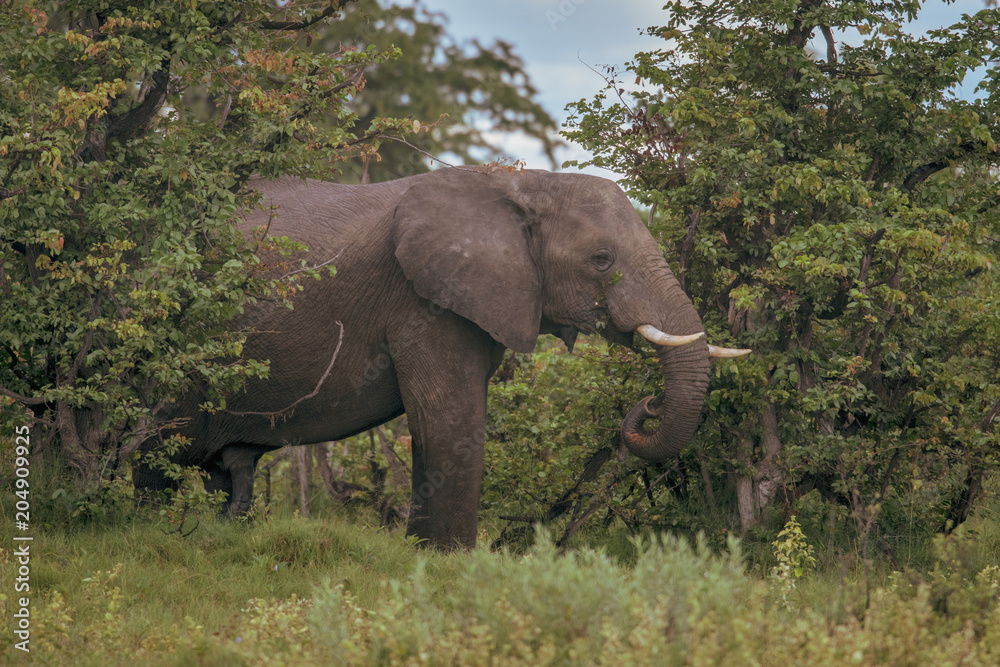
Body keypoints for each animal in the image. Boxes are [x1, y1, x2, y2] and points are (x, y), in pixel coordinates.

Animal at [134, 167, 746, 549]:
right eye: (601, 259)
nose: (648, 404)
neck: (524, 183)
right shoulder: (423, 300)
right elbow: (451, 422)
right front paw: (446, 561)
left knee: (229, 473)